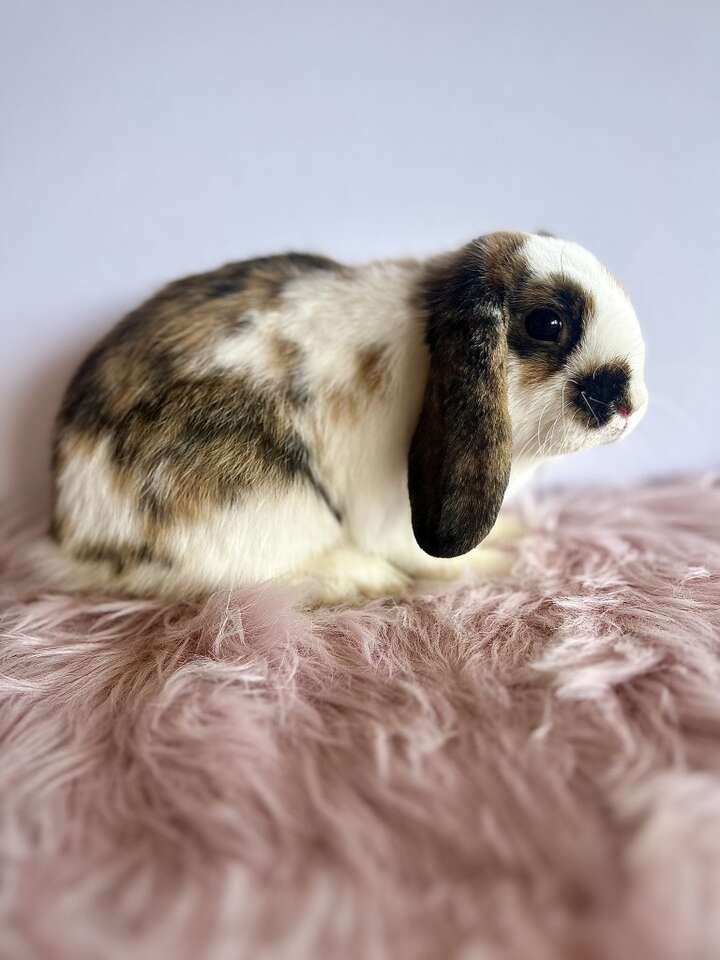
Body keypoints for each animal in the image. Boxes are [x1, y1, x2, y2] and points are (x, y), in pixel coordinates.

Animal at [38, 232, 648, 604]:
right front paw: (496, 566)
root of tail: (74, 535)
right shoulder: (392, 515)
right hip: (262, 500)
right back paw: (356, 578)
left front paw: (514, 533)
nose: (630, 403)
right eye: (547, 323)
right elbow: (429, 558)